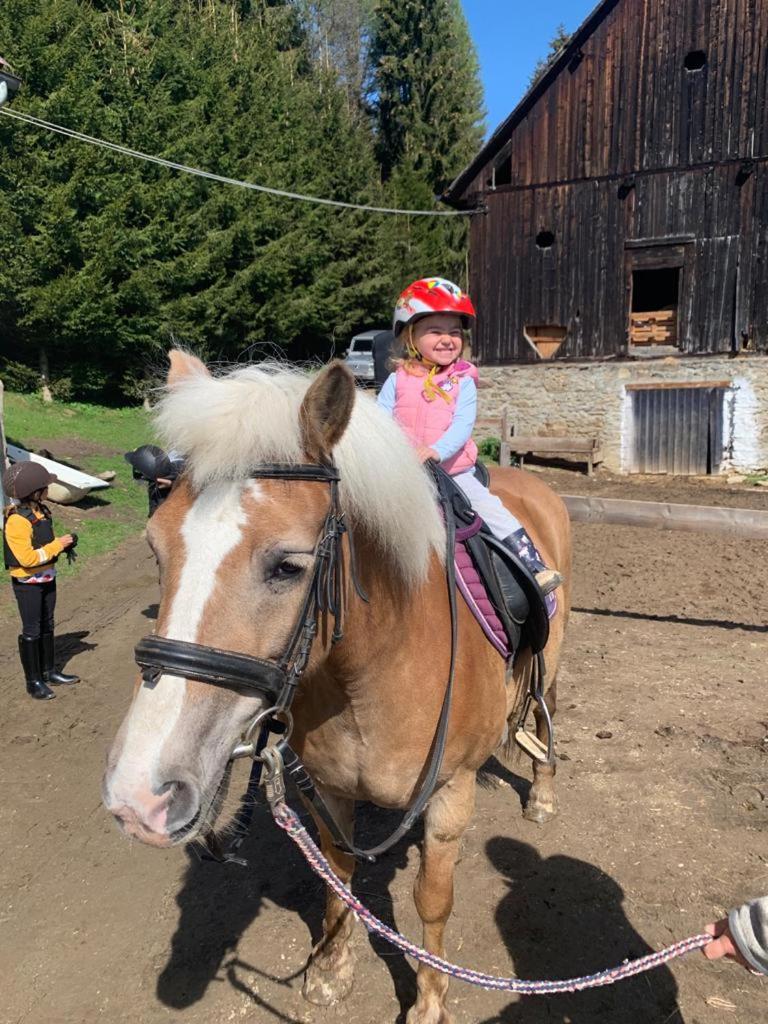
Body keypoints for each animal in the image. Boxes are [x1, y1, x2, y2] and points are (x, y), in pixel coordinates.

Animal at [103, 350, 572, 1024]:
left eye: (288, 566)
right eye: (156, 549)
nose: (139, 797)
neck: (373, 676)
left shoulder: (450, 794)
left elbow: (432, 901)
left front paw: (429, 1003)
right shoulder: (327, 792)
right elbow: (339, 878)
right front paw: (329, 970)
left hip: (551, 665)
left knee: (543, 718)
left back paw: (542, 795)